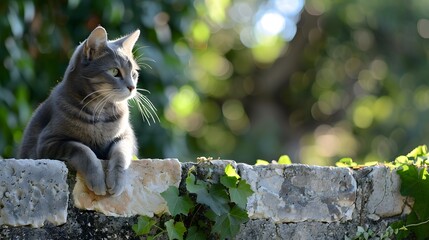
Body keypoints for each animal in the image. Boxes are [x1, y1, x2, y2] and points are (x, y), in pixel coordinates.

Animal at [18, 26, 152, 196]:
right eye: (115, 71)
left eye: (134, 74)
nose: (132, 87)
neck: (101, 113)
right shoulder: (48, 143)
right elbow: (83, 149)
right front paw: (97, 180)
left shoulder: (126, 137)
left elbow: (121, 153)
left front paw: (116, 180)